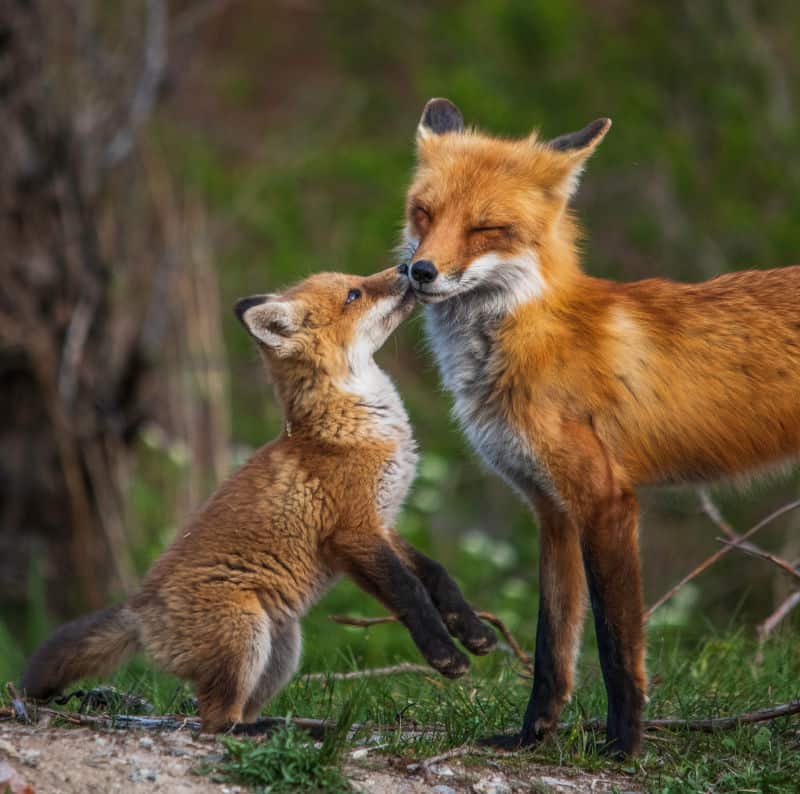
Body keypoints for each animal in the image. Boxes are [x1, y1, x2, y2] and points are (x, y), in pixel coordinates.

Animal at [21, 268, 496, 732]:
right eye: (354, 294)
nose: (408, 268)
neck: (354, 425)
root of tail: (140, 609)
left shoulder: (382, 522)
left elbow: (436, 574)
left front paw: (472, 630)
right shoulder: (352, 534)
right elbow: (409, 591)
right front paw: (445, 655)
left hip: (282, 647)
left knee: (237, 711)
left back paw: (295, 728)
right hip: (245, 634)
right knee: (216, 723)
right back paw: (277, 732)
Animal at [400, 96, 800, 752]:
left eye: (486, 228)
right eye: (424, 213)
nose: (420, 271)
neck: (530, 338)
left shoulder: (605, 499)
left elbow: (616, 643)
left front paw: (624, 746)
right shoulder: (552, 510)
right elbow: (552, 647)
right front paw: (531, 738)